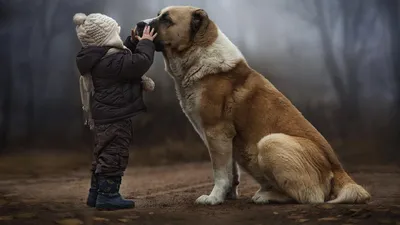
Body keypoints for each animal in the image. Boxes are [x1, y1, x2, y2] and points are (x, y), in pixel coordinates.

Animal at [136, 5, 370, 206]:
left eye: (167, 19)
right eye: (158, 15)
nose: (139, 24)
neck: (198, 55)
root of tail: (339, 169)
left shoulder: (216, 132)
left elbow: (219, 171)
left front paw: (213, 198)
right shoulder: (225, 138)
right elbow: (231, 171)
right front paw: (228, 195)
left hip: (270, 142)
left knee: (310, 197)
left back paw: (265, 196)